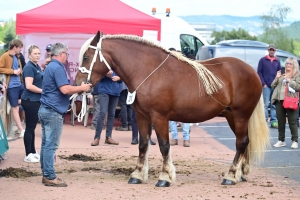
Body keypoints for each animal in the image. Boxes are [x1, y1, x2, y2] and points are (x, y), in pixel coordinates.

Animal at [74, 30, 270, 187]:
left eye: (87, 57)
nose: (77, 84)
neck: (148, 70)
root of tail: (252, 71)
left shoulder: (160, 117)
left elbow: (164, 146)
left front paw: (165, 177)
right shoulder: (142, 116)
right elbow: (143, 144)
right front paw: (137, 175)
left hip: (241, 115)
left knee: (241, 142)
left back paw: (230, 175)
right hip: (231, 116)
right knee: (245, 142)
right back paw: (241, 174)